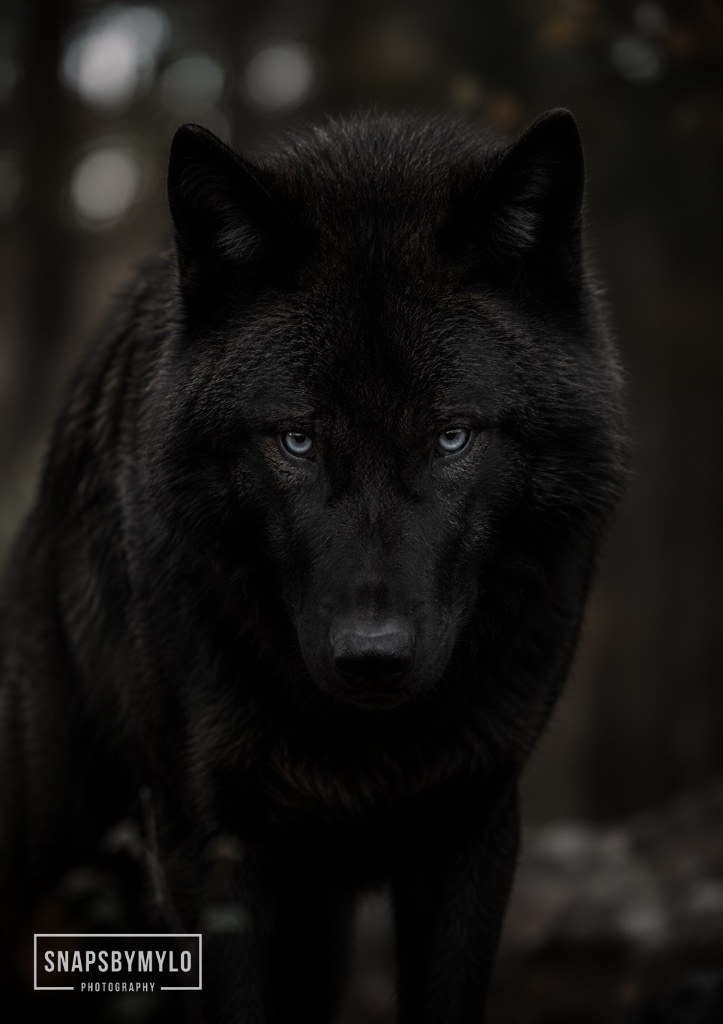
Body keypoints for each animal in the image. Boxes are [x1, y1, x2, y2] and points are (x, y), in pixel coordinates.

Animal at [0, 110, 626, 1022]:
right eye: (296, 440)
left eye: (451, 437)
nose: (372, 657)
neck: (361, 743)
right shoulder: (209, 850)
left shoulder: (472, 825)